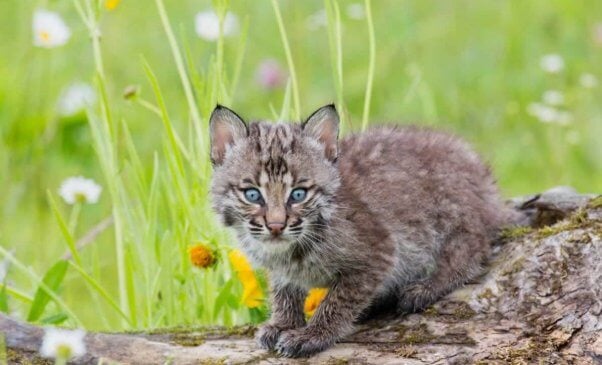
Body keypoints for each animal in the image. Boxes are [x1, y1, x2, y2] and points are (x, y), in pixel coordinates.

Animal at [209, 104, 512, 356]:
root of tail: (483, 175)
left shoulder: (380, 251)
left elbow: (337, 300)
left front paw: (313, 334)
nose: (275, 226)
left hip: (453, 215)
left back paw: (425, 287)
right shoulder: (281, 266)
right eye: (252, 195)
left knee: (472, 250)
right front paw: (283, 324)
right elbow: (284, 290)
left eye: (298, 195)